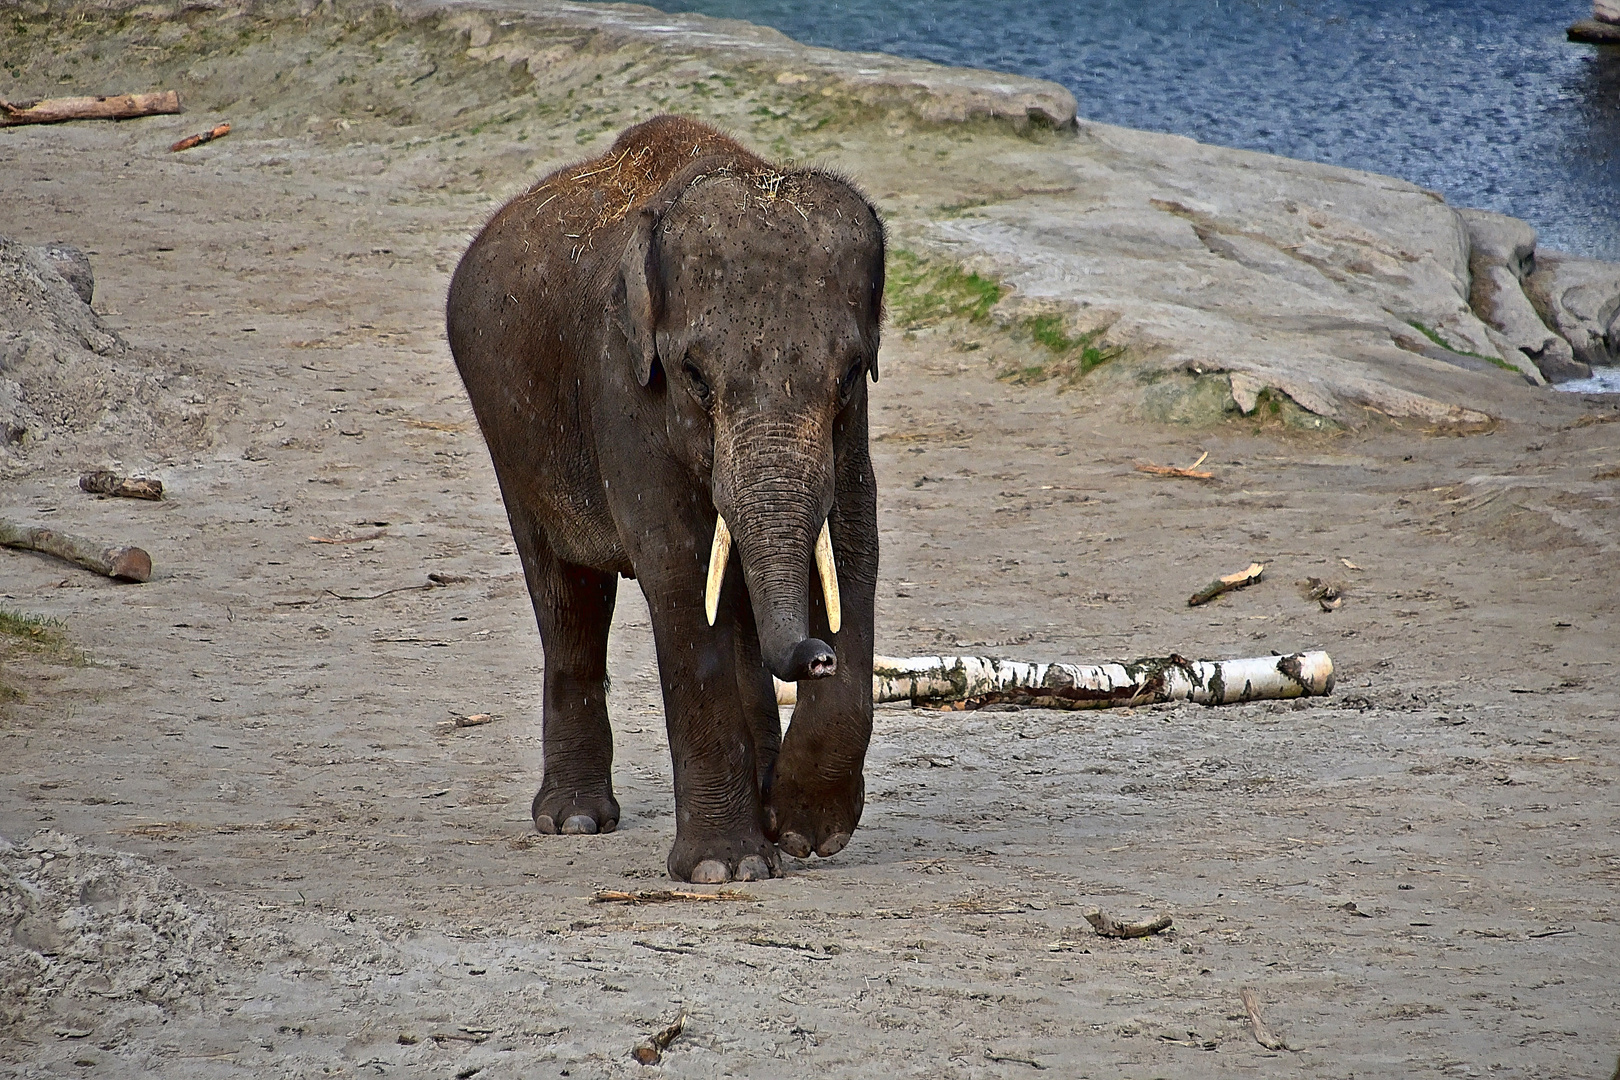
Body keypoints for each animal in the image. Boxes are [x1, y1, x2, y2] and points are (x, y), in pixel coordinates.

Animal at [443, 114, 887, 880]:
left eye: (852, 372)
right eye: (695, 377)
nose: (816, 657)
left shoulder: (851, 431)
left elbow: (854, 549)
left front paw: (805, 832)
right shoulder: (621, 386)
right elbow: (677, 571)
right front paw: (724, 870)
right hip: (511, 436)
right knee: (568, 598)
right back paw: (575, 820)